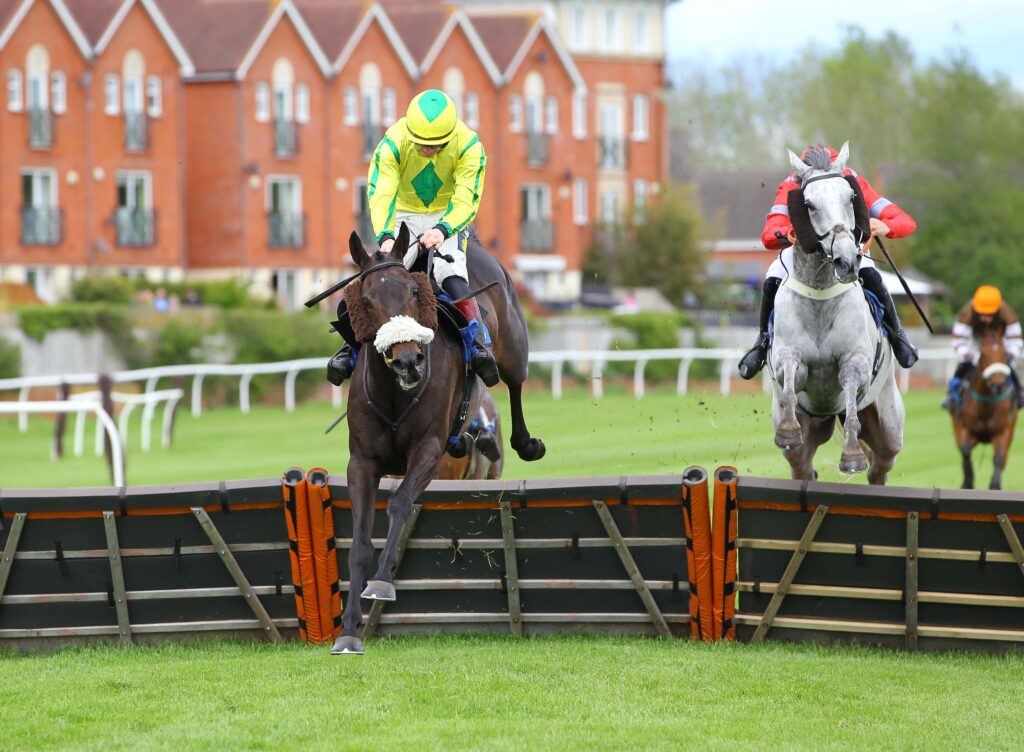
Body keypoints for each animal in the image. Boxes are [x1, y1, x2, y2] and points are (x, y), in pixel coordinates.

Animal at [950, 329, 1015, 489]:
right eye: (983, 354)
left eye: (1005, 354)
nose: (998, 384)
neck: (987, 404)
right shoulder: (966, 430)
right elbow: (965, 451)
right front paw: (967, 483)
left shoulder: (1003, 431)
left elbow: (999, 457)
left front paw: (995, 485)